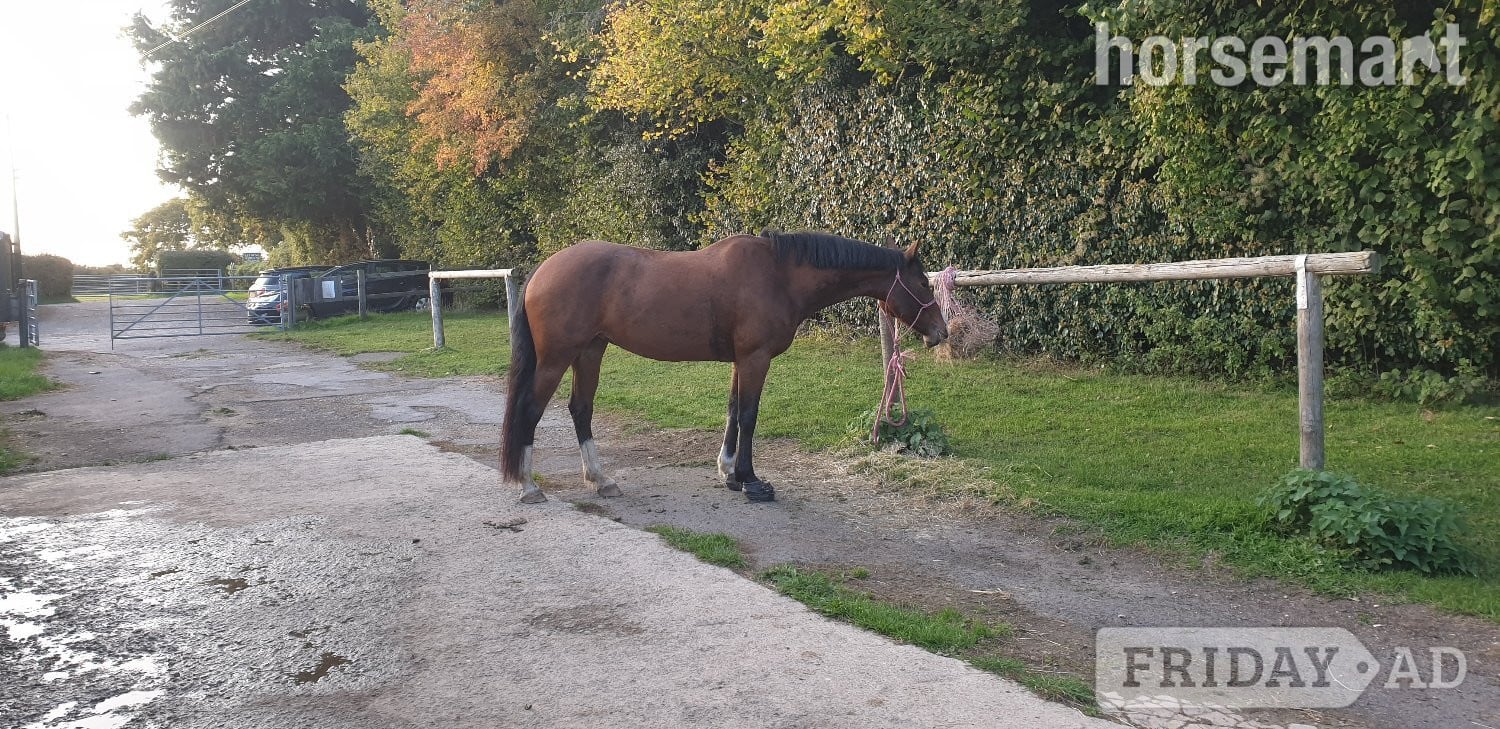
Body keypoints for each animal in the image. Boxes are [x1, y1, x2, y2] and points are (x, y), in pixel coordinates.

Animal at [500, 230, 949, 504]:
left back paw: (600, 479)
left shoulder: (741, 360)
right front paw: (752, 482)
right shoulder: (755, 358)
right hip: (557, 358)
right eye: (923, 283)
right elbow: (749, 415)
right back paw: (528, 485)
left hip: (591, 351)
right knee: (531, 411)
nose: (941, 332)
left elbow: (733, 411)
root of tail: (543, 269)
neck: (779, 275)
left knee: (581, 409)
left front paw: (729, 473)